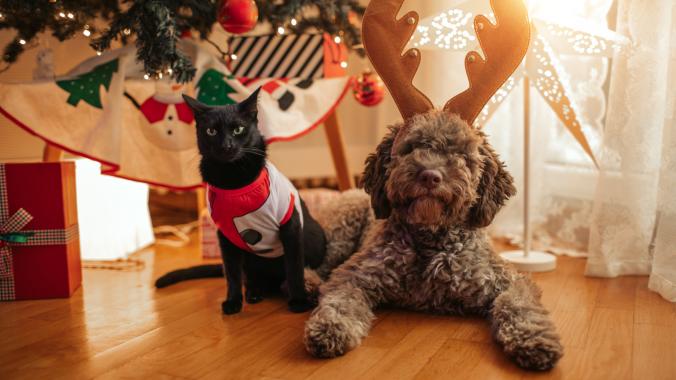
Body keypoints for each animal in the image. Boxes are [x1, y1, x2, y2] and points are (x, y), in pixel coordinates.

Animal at [158, 89, 328, 314]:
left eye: (238, 129)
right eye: (211, 131)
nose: (226, 145)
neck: (234, 182)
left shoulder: (289, 226)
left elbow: (294, 268)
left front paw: (299, 300)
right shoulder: (226, 234)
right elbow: (232, 273)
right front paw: (233, 301)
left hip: (315, 240)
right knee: (250, 277)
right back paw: (254, 292)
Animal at [304, 110, 564, 372]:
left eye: (460, 154)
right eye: (411, 148)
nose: (430, 176)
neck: (430, 239)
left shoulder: (507, 281)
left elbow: (519, 305)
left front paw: (534, 338)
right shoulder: (354, 275)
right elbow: (340, 301)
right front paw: (330, 327)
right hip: (342, 228)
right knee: (320, 264)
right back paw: (308, 283)